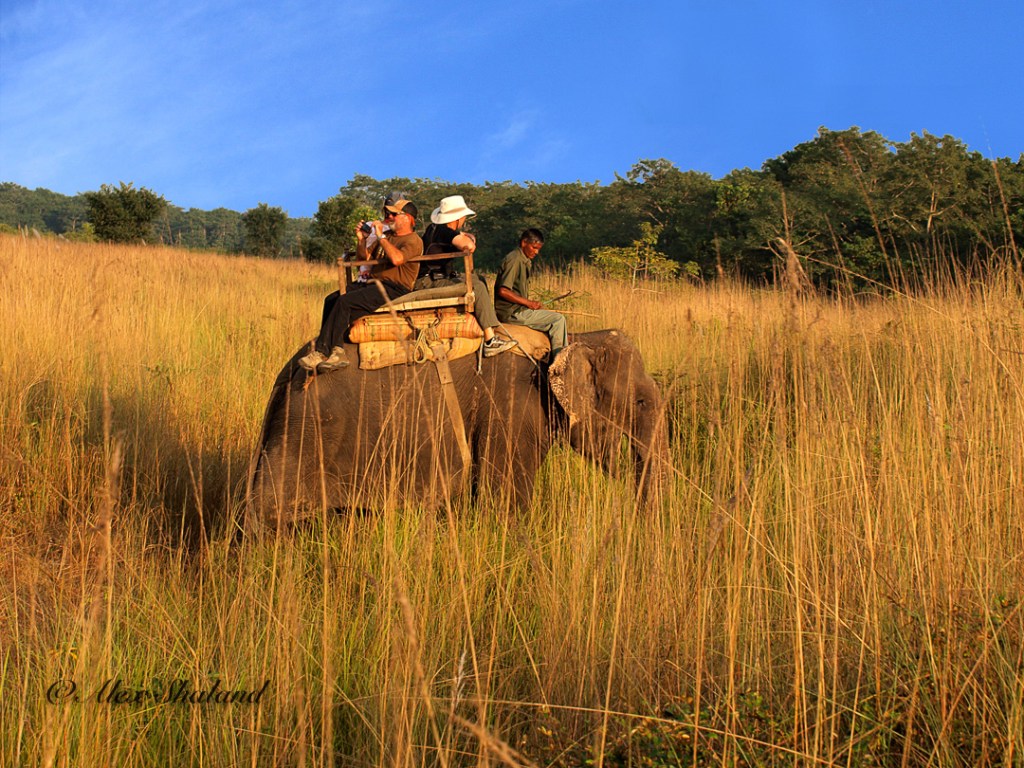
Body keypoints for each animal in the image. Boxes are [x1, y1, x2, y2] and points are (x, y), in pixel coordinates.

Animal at [247, 329, 669, 526]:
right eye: (641, 402)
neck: (571, 340)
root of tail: (285, 374)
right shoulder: (509, 411)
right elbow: (504, 502)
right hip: (304, 433)